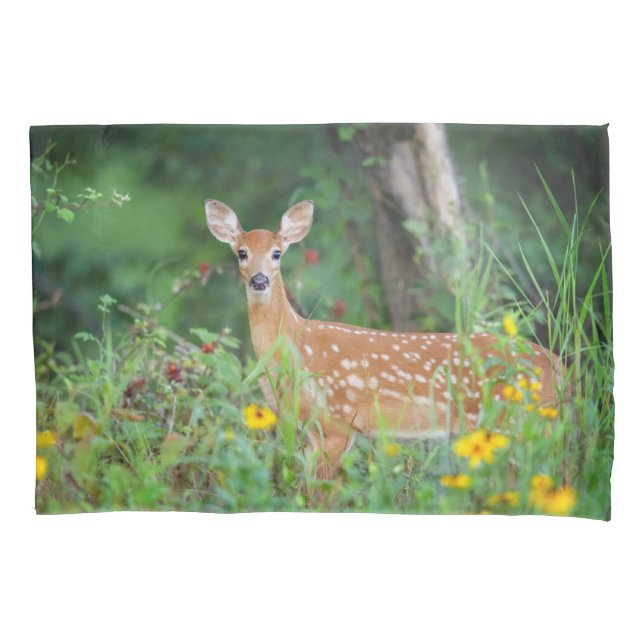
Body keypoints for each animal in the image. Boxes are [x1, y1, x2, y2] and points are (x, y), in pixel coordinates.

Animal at [205, 199, 566, 480]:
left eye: (277, 253)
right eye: (241, 252)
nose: (259, 280)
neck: (296, 345)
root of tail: (560, 367)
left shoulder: (338, 421)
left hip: (528, 419)